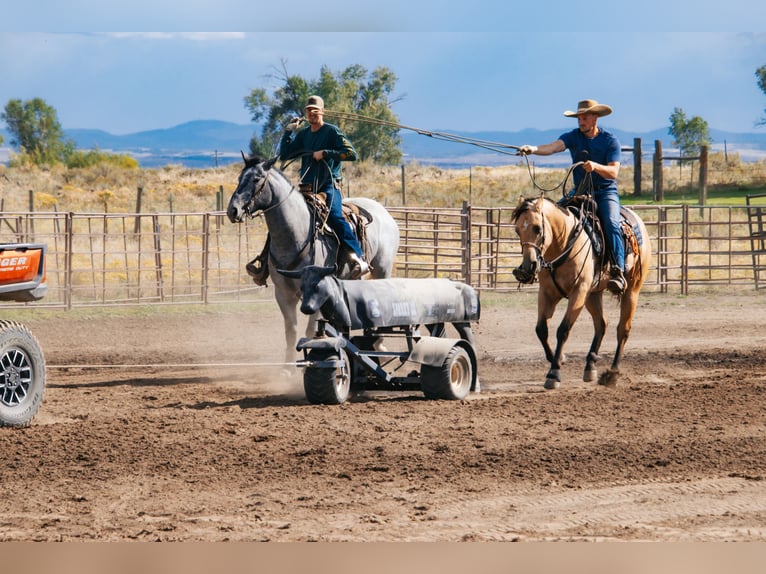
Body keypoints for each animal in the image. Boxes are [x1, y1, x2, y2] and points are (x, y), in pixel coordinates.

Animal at [226, 155, 400, 364]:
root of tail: (383, 210)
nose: (233, 210)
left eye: (256, 179)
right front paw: (287, 367)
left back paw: (379, 345)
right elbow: (290, 331)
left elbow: (310, 330)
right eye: (239, 178)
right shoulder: (282, 293)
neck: (295, 234)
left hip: (382, 268)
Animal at [511, 195, 651, 389]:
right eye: (517, 230)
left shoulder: (579, 292)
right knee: (601, 324)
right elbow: (541, 329)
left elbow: (563, 330)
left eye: (537, 228)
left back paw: (612, 373)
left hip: (632, 290)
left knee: (623, 329)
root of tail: (639, 223)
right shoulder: (547, 293)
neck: (563, 245)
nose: (526, 268)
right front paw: (559, 359)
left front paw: (554, 374)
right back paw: (590, 366)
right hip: (593, 294)